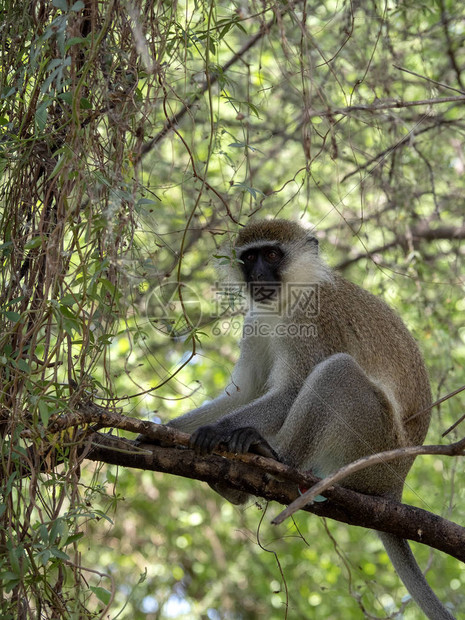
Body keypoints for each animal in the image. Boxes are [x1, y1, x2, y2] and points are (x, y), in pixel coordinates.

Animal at [166, 220, 454, 616]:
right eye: (250, 258)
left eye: (272, 254)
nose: (257, 275)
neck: (290, 298)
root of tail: (395, 485)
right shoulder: (255, 322)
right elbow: (244, 392)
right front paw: (161, 432)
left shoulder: (314, 321)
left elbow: (292, 390)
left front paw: (214, 431)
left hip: (373, 448)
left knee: (337, 372)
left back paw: (274, 460)